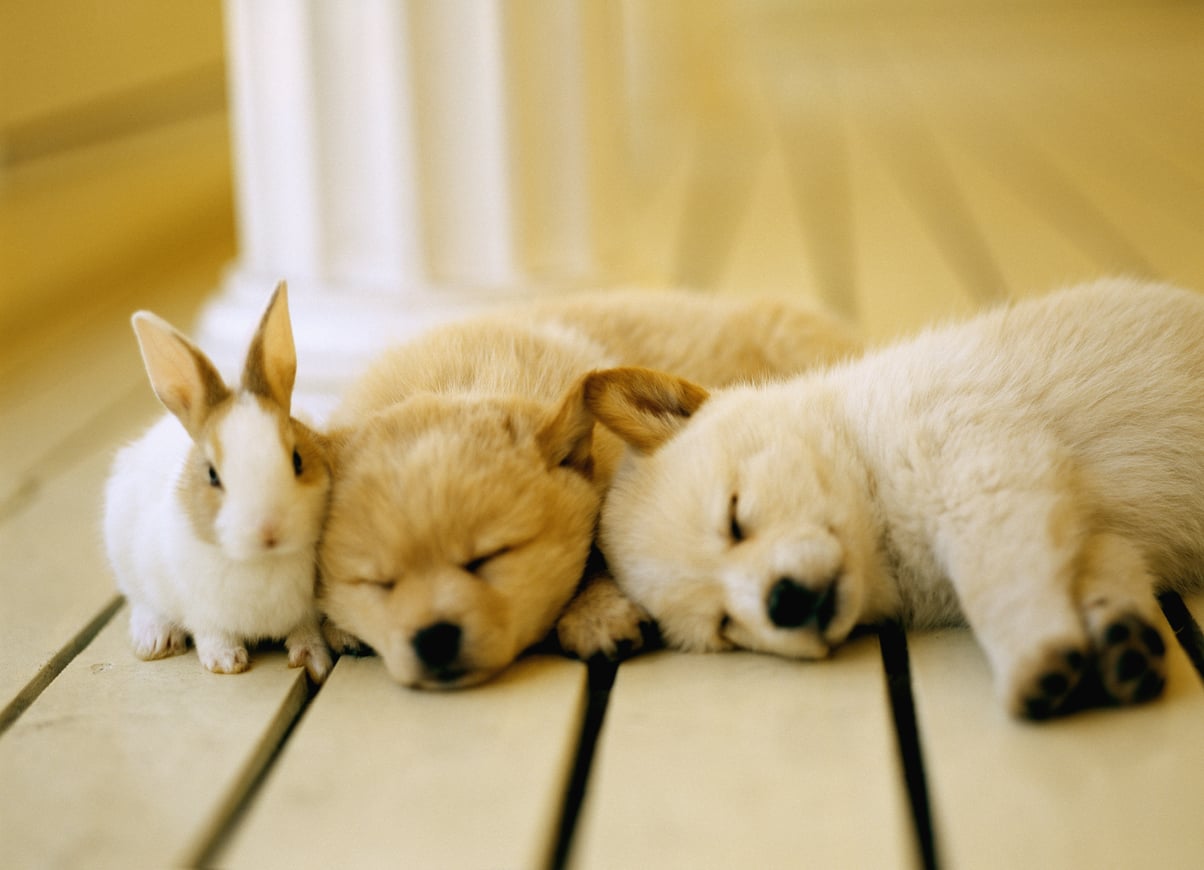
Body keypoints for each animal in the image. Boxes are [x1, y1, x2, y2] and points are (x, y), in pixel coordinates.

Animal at [103, 281, 333, 681]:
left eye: (298, 460)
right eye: (212, 475)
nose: (268, 531)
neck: (261, 561)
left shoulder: (306, 611)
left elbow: (306, 630)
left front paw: (313, 660)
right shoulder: (200, 609)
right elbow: (212, 633)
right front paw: (225, 662)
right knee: (142, 602)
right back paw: (155, 640)